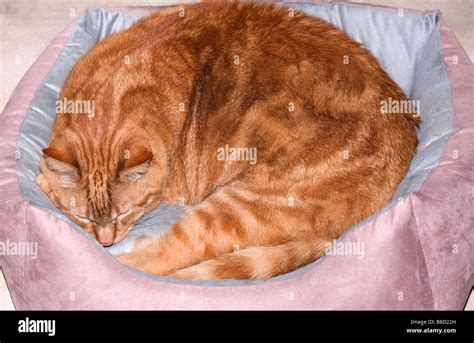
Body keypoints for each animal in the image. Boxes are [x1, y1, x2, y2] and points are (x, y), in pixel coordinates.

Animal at [36, 2, 418, 280]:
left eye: (126, 212)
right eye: (81, 216)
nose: (106, 240)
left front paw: (43, 180)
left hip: (236, 207)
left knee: (161, 259)